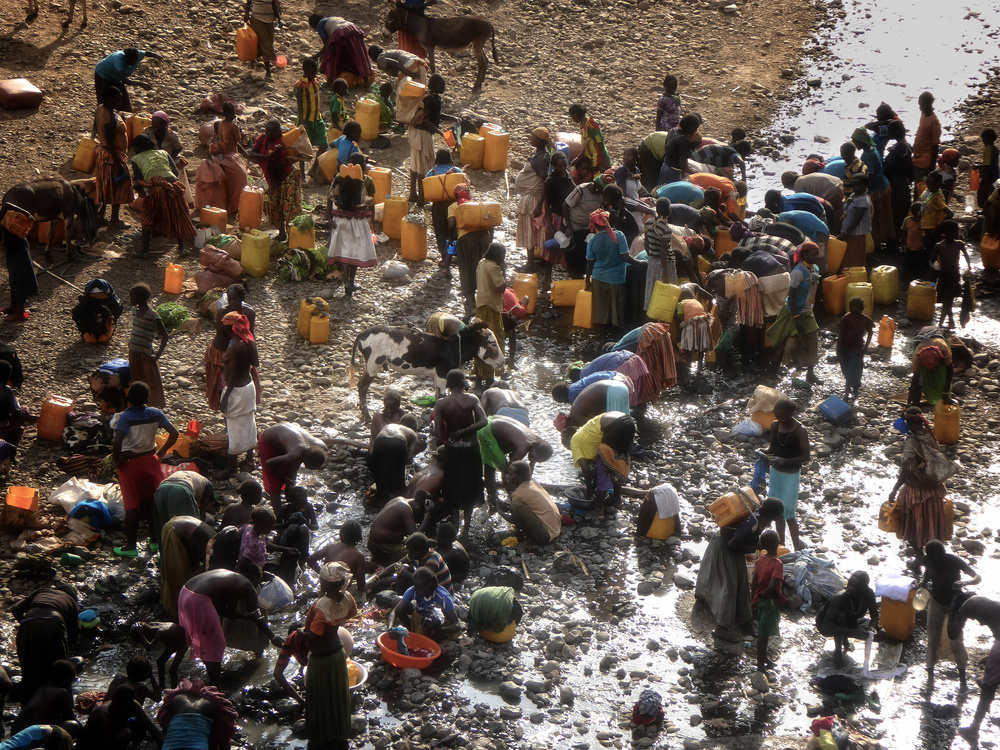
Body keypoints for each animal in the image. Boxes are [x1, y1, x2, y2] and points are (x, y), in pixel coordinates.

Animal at [354, 322, 508, 420]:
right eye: (493, 344)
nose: (503, 362)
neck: (452, 348)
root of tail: (362, 334)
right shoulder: (442, 374)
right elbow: (442, 396)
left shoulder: (436, 376)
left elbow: (437, 395)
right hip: (374, 364)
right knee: (363, 386)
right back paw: (367, 415)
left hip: (370, 365)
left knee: (360, 384)